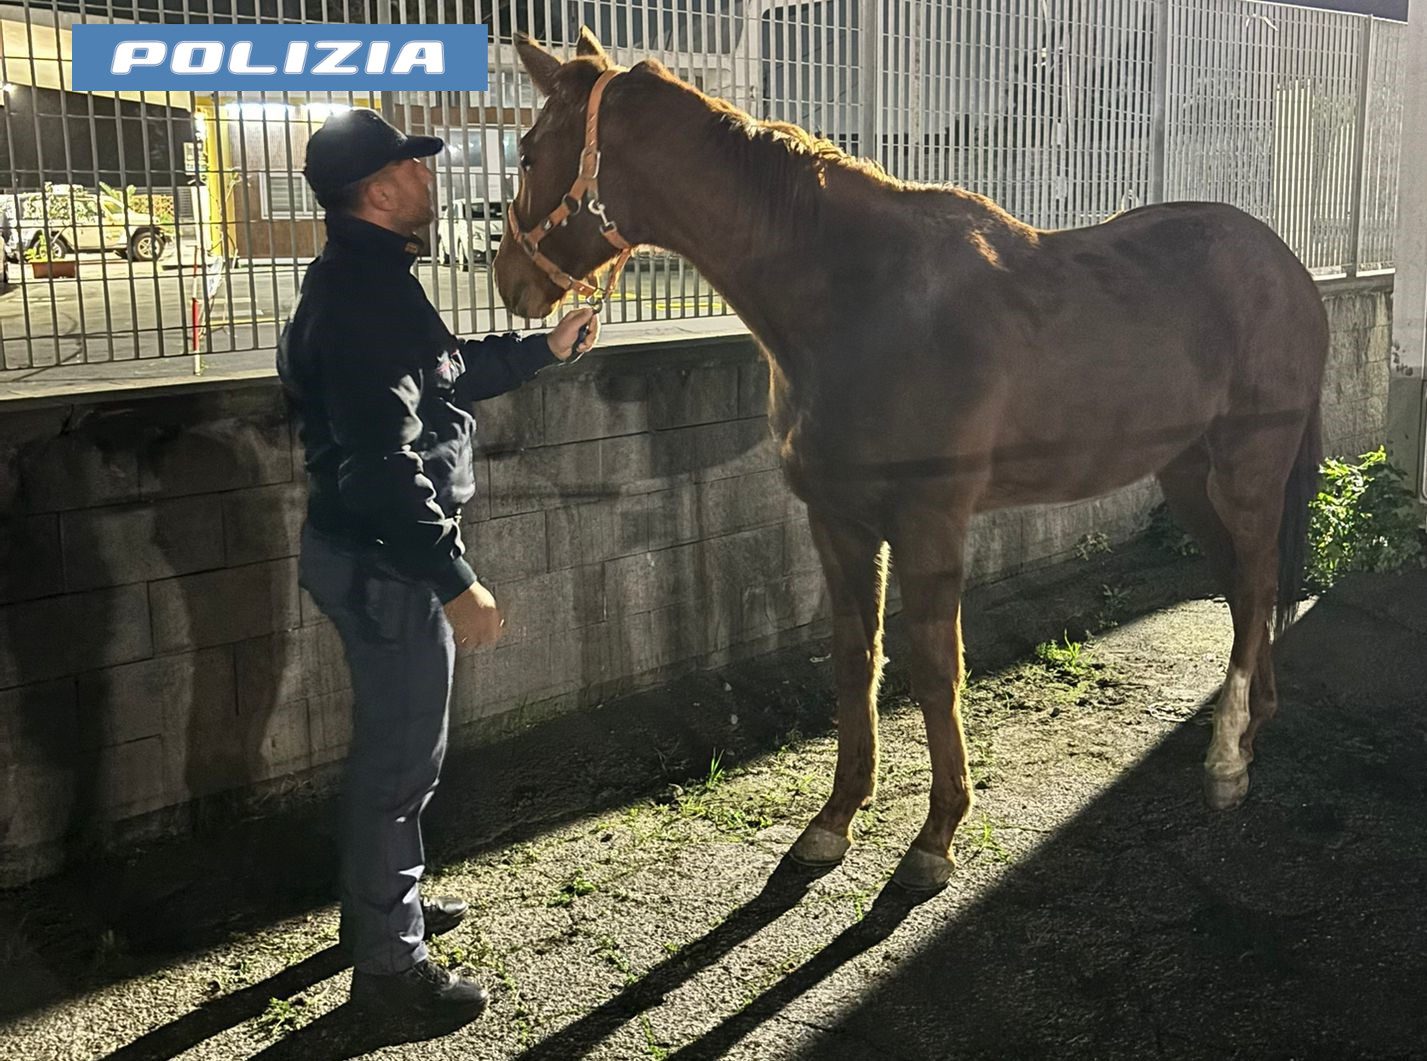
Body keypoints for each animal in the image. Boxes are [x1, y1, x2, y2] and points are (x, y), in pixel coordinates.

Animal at [494, 29, 1326, 893]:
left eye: (527, 152)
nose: (508, 280)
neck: (858, 299)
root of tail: (1287, 267)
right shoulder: (837, 520)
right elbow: (855, 660)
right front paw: (832, 820)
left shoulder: (929, 522)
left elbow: (933, 669)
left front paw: (935, 835)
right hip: (1186, 471)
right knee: (1243, 587)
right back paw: (1250, 722)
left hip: (1248, 468)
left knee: (1255, 581)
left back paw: (1227, 758)